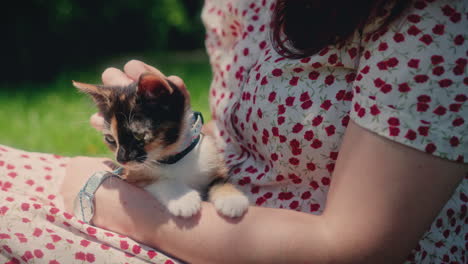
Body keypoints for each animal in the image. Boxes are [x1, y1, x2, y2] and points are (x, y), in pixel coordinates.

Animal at [73, 71, 249, 217]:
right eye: (110, 139)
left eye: (139, 135)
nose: (121, 160)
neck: (172, 157)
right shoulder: (131, 176)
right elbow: (160, 180)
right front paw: (183, 199)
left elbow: (221, 180)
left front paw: (232, 199)